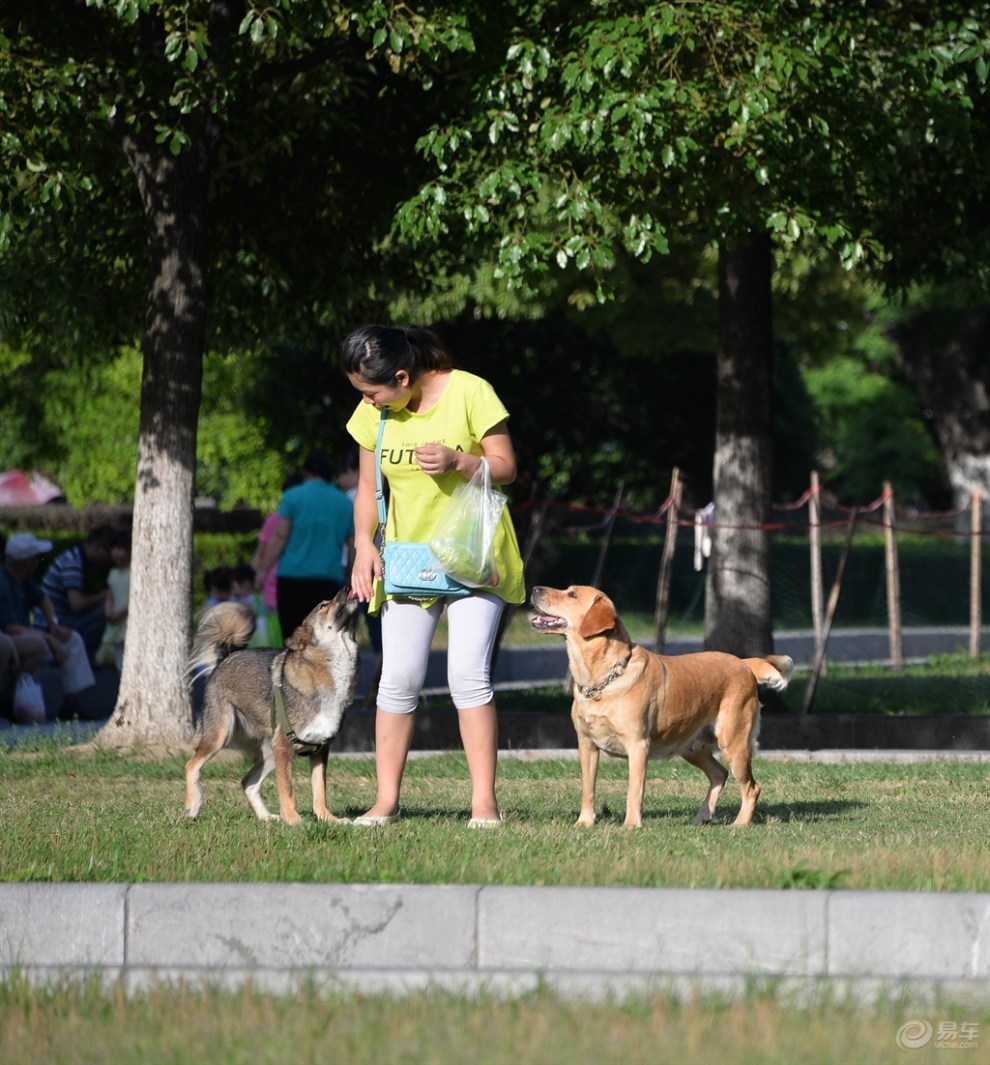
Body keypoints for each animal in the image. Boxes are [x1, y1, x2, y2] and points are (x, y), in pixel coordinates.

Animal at [182, 592, 359, 822]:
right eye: (322, 605)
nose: (347, 589)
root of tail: (224, 659)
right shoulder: (283, 746)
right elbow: (287, 789)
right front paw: (293, 820)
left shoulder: (320, 750)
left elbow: (320, 790)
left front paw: (328, 819)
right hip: (221, 735)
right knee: (191, 765)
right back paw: (193, 805)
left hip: (269, 752)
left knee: (247, 782)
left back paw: (266, 817)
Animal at [528, 587, 792, 826]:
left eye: (571, 594)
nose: (535, 588)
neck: (601, 680)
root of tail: (744, 663)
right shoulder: (586, 744)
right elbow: (588, 788)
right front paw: (584, 822)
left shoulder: (637, 745)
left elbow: (634, 791)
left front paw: (631, 825)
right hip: (692, 746)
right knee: (719, 774)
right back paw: (702, 816)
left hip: (734, 742)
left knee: (751, 788)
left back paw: (740, 824)